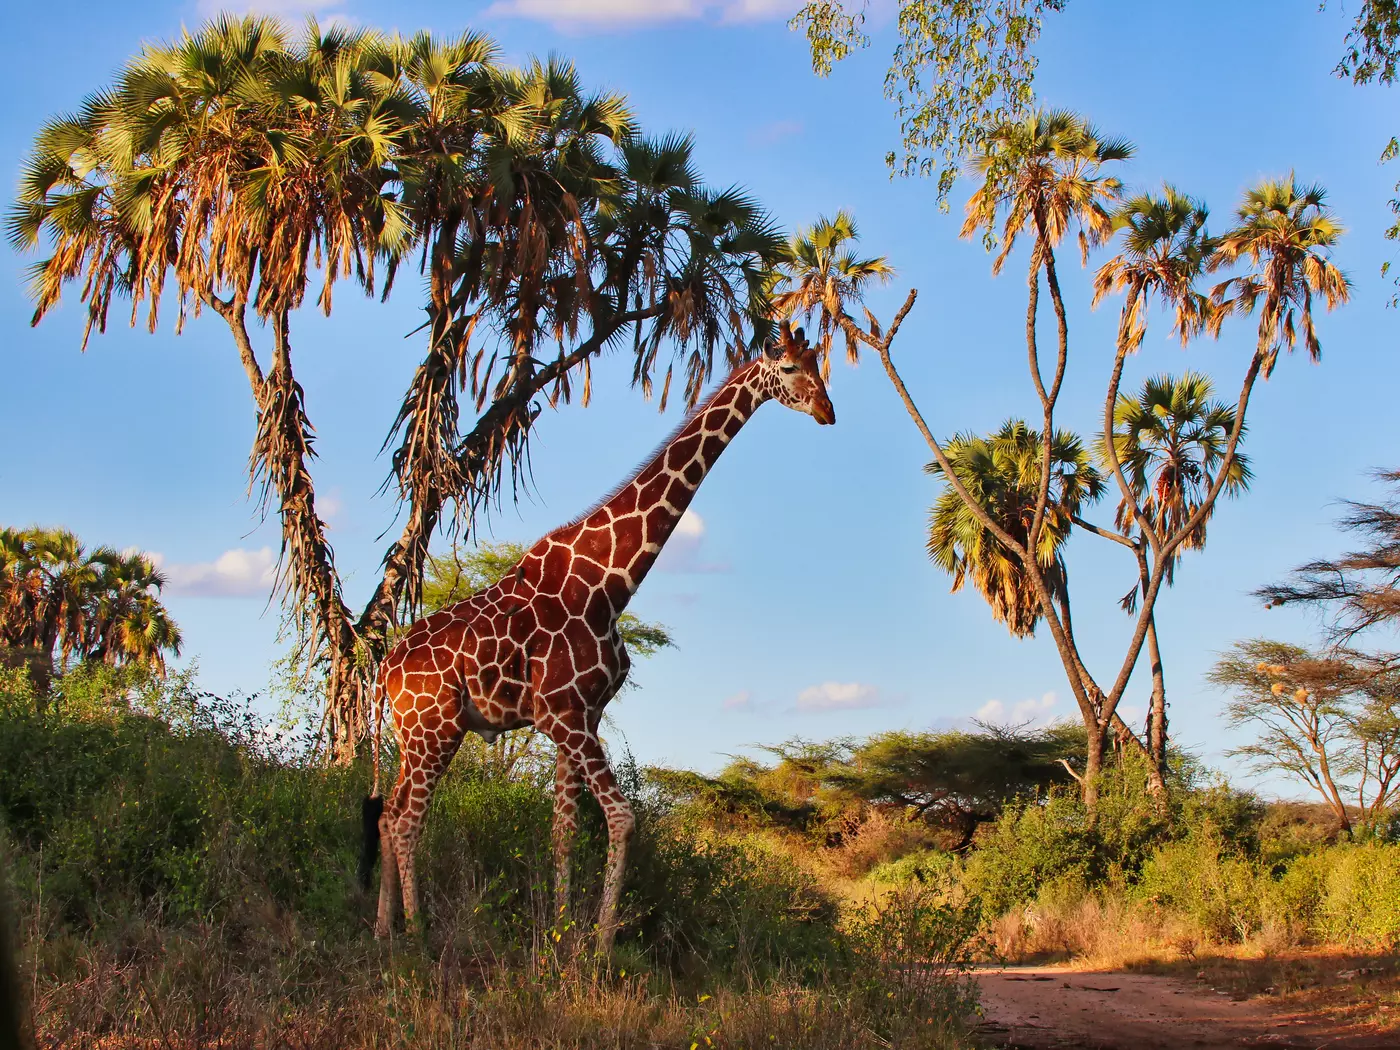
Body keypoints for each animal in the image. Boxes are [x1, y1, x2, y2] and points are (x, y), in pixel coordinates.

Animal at [364, 322, 835, 950]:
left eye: (820, 363)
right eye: (788, 369)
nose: (827, 410)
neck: (610, 582)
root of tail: (384, 676)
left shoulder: (576, 716)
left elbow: (563, 827)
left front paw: (560, 930)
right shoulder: (567, 716)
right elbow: (622, 817)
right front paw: (600, 942)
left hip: (421, 734)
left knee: (389, 813)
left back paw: (383, 929)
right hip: (432, 728)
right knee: (409, 819)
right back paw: (418, 934)